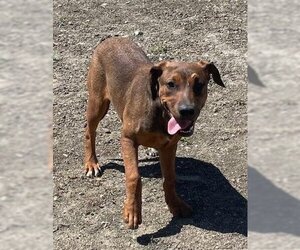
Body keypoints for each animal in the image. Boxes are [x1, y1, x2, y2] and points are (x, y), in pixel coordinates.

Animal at [83, 36, 224, 229]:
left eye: (199, 85)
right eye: (171, 84)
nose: (187, 111)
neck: (161, 113)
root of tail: (111, 38)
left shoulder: (169, 146)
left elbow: (170, 178)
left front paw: (175, 204)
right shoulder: (127, 139)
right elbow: (134, 176)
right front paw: (132, 211)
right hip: (97, 104)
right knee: (89, 131)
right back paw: (91, 163)